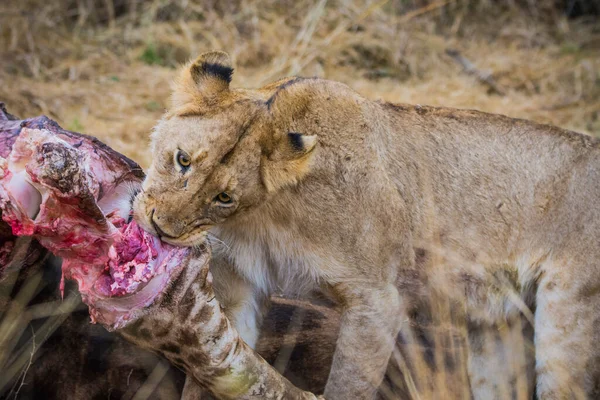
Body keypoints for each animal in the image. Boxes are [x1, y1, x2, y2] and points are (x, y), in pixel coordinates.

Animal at [135, 51, 600, 398]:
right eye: (182, 159)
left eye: (224, 197)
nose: (161, 229)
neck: (258, 220)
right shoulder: (236, 293)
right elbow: (210, 376)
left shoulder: (378, 299)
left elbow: (349, 385)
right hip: (497, 329)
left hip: (569, 315)